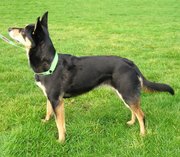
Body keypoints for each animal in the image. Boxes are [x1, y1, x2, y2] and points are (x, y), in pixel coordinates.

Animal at [8, 11, 174, 142]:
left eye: (23, 31)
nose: (9, 28)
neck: (48, 63)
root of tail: (130, 63)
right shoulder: (50, 98)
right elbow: (49, 112)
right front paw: (45, 121)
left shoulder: (57, 100)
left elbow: (59, 124)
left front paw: (61, 141)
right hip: (124, 93)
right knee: (134, 111)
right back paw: (131, 123)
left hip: (126, 93)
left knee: (141, 115)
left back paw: (143, 135)